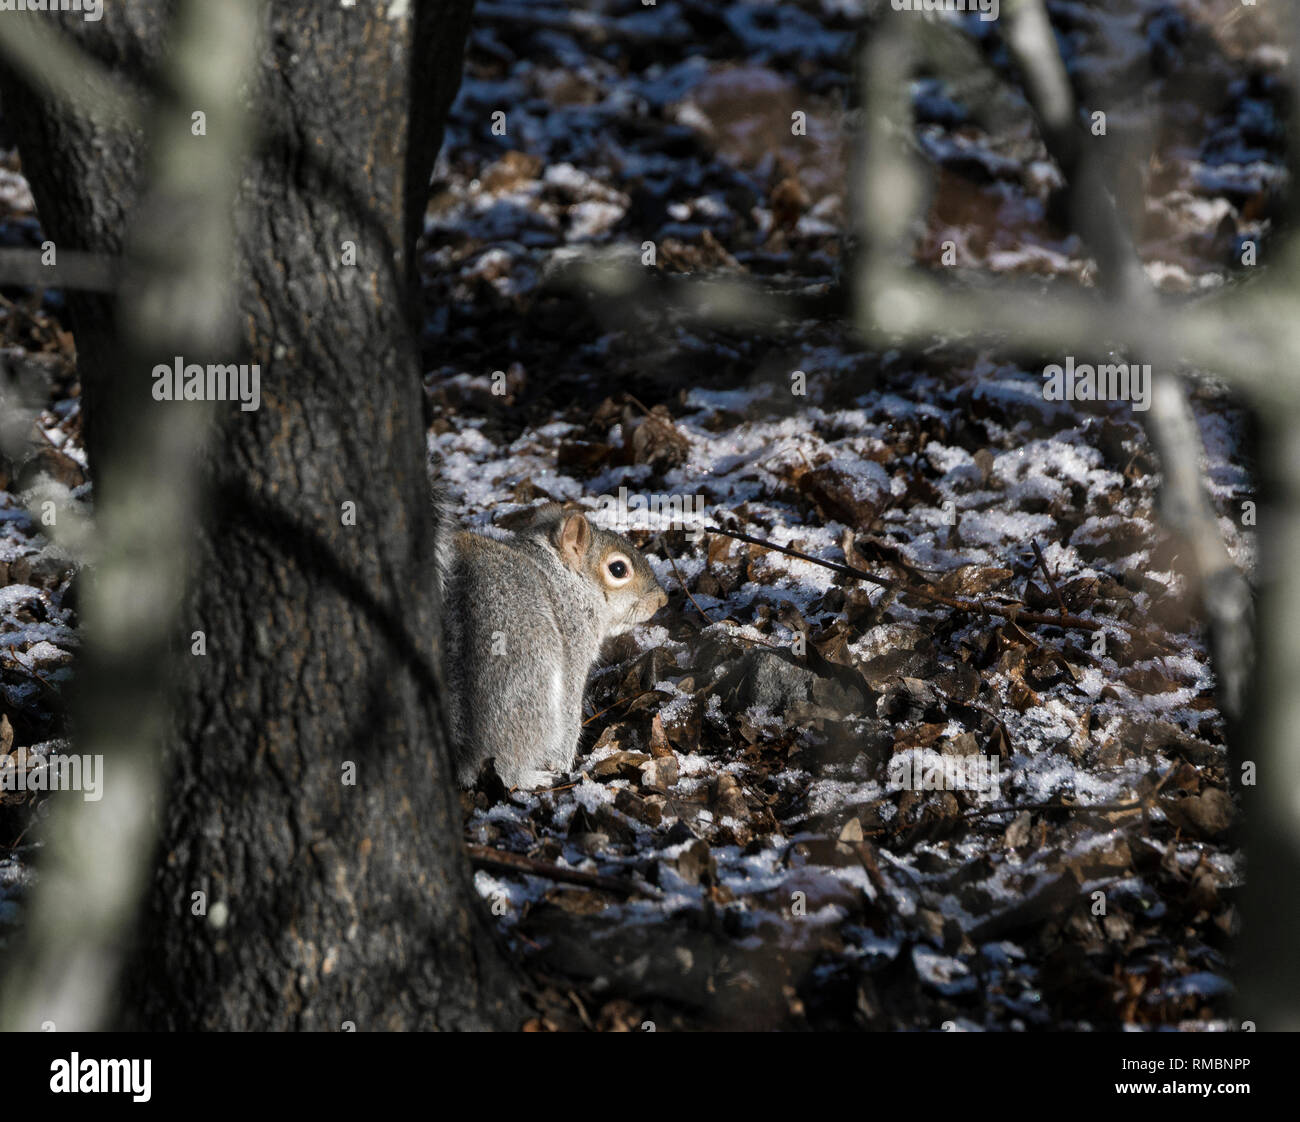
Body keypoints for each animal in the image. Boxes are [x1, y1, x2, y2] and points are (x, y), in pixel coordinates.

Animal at [434, 499, 665, 790]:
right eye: (618, 569)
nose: (662, 599)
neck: (561, 578)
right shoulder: (573, 641)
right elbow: (568, 710)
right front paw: (564, 762)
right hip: (527, 673)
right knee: (508, 759)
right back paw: (530, 777)